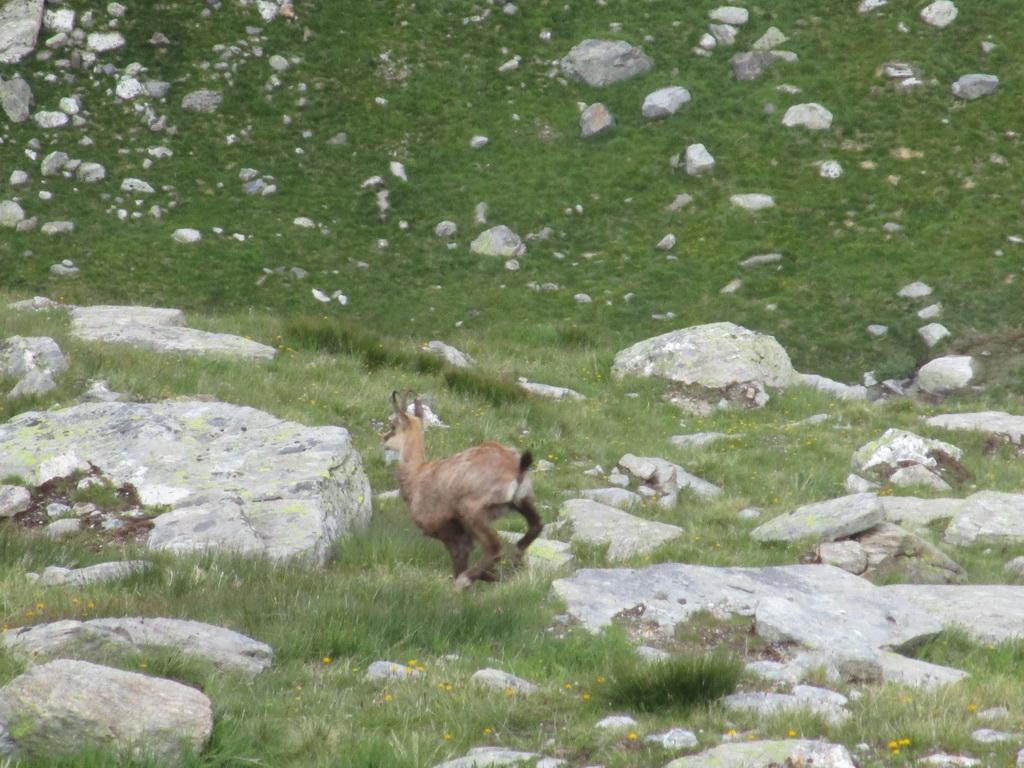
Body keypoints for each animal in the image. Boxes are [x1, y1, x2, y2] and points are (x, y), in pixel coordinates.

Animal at [381, 390, 543, 590]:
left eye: (393, 425)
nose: (384, 439)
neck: (416, 475)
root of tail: (516, 469)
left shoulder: (448, 530)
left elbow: (460, 562)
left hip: (472, 511)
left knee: (495, 548)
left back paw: (464, 581)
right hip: (523, 501)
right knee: (536, 526)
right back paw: (517, 557)